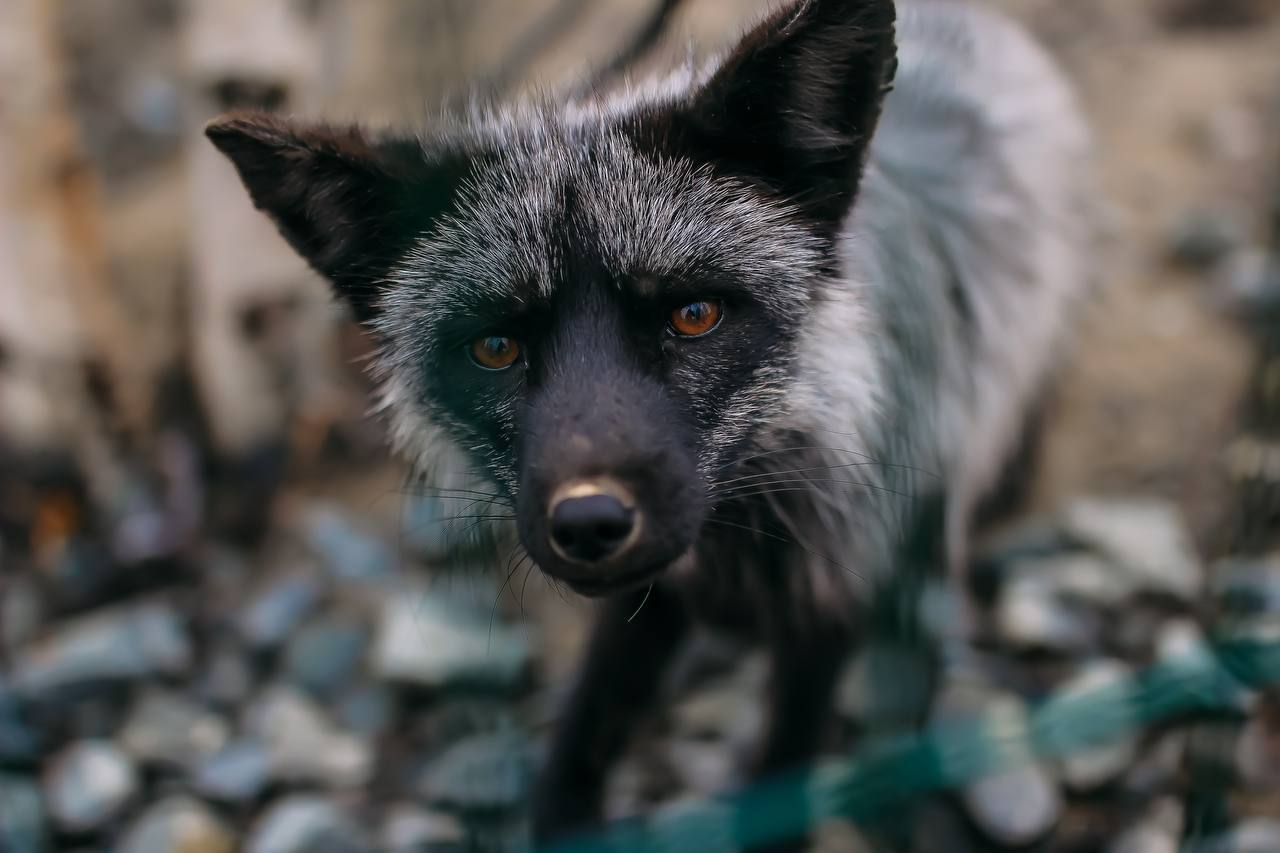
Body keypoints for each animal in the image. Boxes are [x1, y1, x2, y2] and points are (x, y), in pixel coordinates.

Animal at [207, 0, 1096, 846]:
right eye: (495, 346)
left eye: (694, 315)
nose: (590, 521)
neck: (737, 543)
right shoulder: (651, 604)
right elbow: (582, 737)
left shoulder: (833, 601)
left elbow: (782, 780)